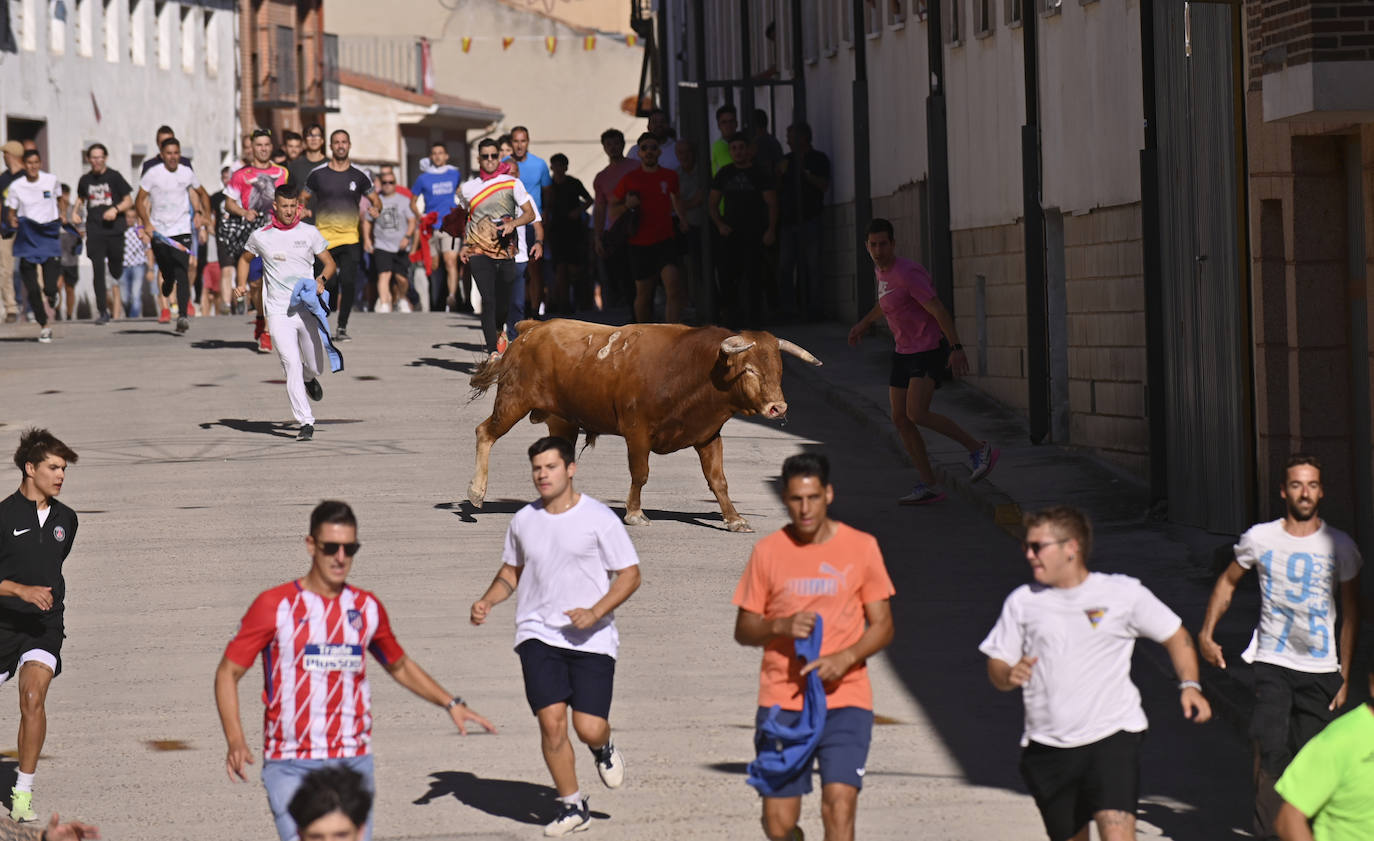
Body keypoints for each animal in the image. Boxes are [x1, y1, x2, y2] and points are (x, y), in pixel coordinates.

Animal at [467, 318, 818, 527]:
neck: (690, 368)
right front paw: (635, 512)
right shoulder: (637, 432)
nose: (778, 407)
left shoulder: (708, 435)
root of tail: (533, 327)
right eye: (749, 370)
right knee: (485, 432)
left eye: (778, 370)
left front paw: (734, 518)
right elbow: (641, 473)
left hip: (562, 421)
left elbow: (718, 480)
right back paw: (476, 493)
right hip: (513, 401)